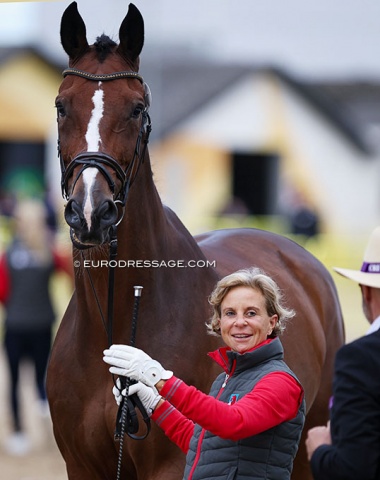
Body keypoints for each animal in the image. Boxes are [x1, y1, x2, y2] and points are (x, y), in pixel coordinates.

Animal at [46, 1, 344, 478]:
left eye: (136, 108)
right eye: (61, 105)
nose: (91, 212)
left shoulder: (171, 465)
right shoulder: (81, 465)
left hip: (310, 443)